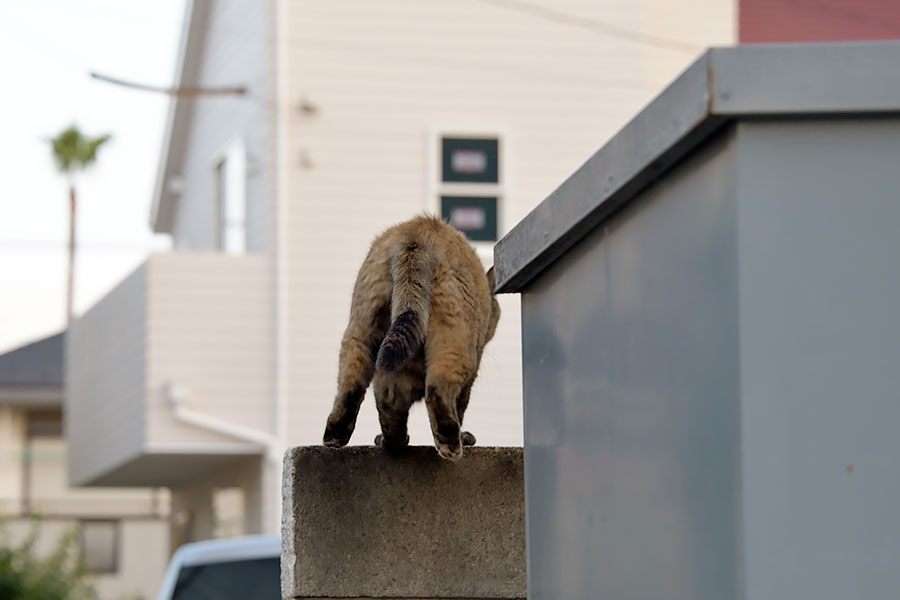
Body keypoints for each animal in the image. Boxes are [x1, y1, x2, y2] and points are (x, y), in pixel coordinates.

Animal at [326, 214, 500, 460]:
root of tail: (415, 236)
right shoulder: (472, 372)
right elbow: (461, 404)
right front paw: (464, 437)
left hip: (360, 333)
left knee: (356, 389)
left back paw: (341, 437)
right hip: (455, 341)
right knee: (437, 390)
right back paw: (450, 446)